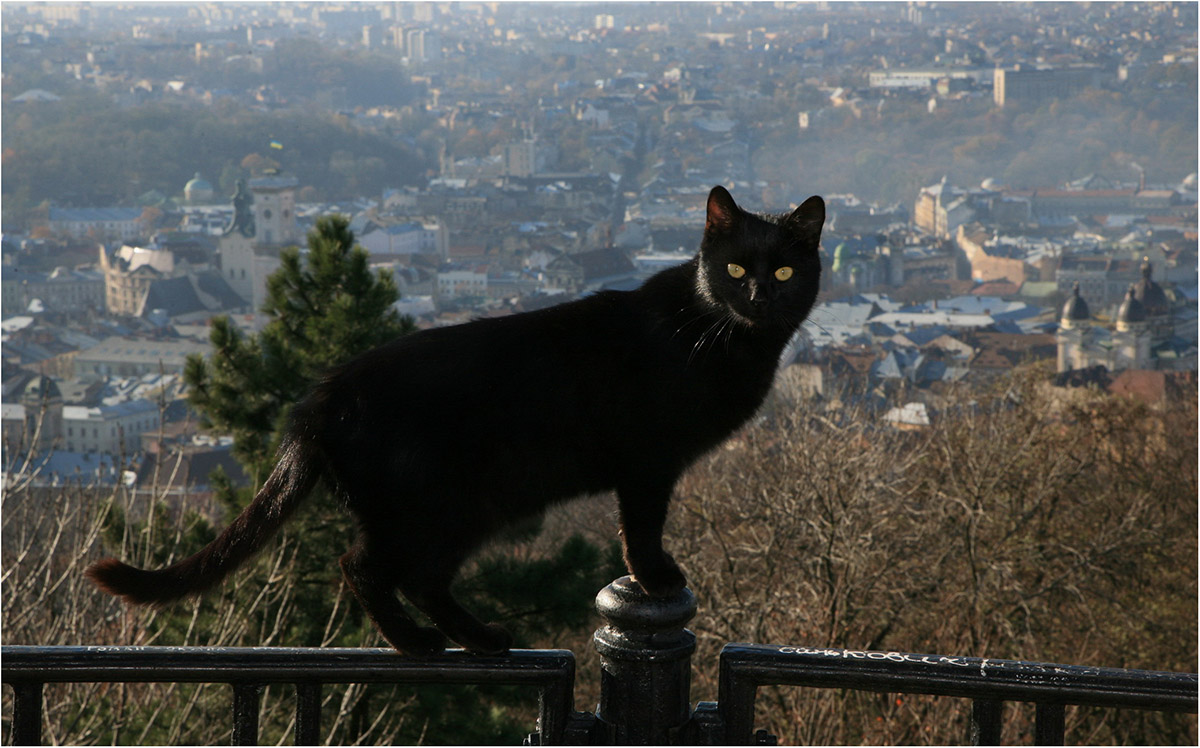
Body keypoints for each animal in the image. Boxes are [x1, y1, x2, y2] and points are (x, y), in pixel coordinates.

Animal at [88, 187, 825, 653]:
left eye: (786, 271)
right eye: (734, 268)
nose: (760, 295)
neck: (723, 335)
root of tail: (321, 396)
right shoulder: (647, 463)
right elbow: (641, 530)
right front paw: (657, 577)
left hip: (464, 509)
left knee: (414, 577)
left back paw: (472, 639)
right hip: (446, 505)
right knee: (364, 566)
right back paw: (421, 643)